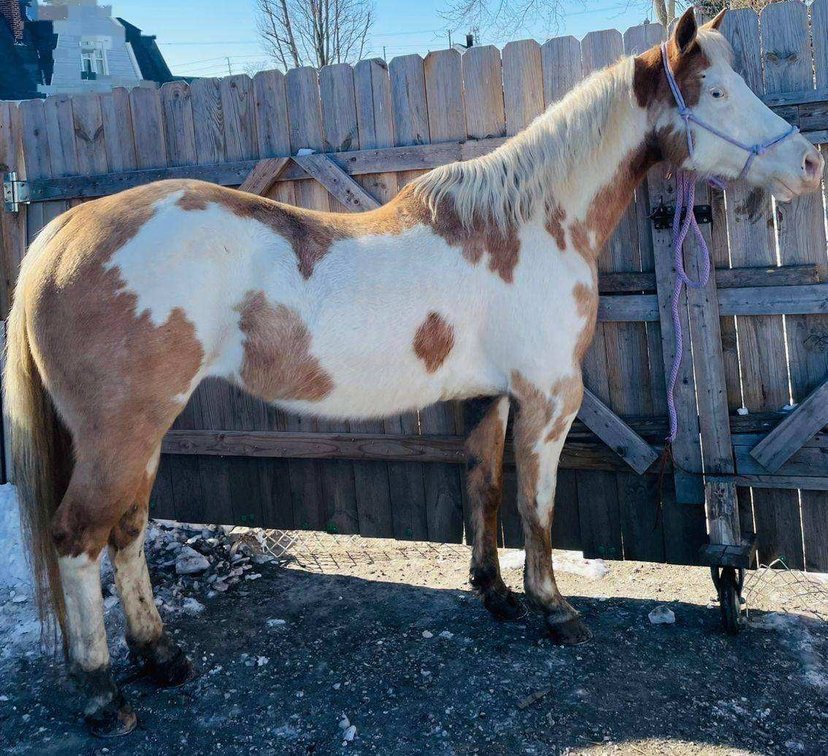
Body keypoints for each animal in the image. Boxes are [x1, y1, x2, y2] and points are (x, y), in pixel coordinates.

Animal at [5, 8, 823, 736]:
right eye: (716, 92)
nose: (810, 164)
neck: (532, 222)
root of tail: (62, 232)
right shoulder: (550, 400)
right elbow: (537, 506)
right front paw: (554, 609)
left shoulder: (492, 397)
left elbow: (484, 488)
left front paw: (496, 594)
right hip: (121, 432)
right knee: (78, 537)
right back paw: (102, 693)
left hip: (142, 435)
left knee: (126, 530)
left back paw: (162, 656)